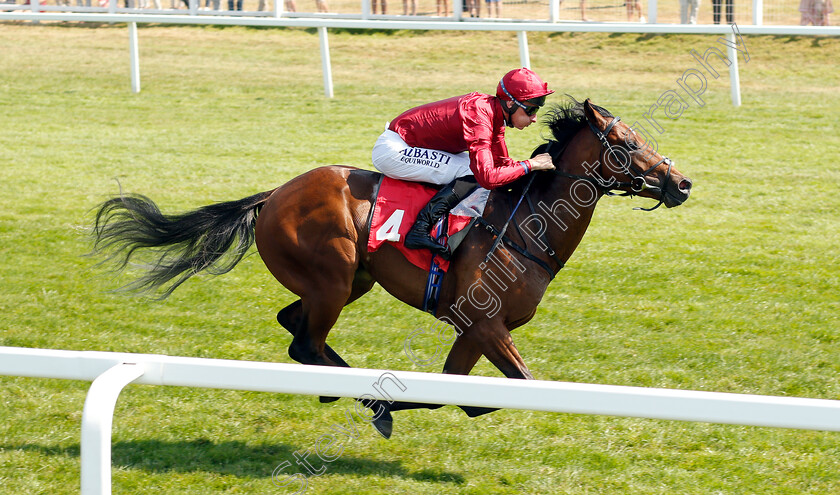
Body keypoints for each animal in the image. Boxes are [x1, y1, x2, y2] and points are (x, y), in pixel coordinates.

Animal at [88, 97, 692, 438]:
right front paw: (390, 402)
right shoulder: (485, 323)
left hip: (351, 280)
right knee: (306, 341)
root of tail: (274, 194)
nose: (681, 183)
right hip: (333, 277)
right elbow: (516, 384)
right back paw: (368, 400)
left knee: (295, 329)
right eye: (627, 143)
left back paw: (346, 391)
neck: (525, 227)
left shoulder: (475, 328)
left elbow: (458, 392)